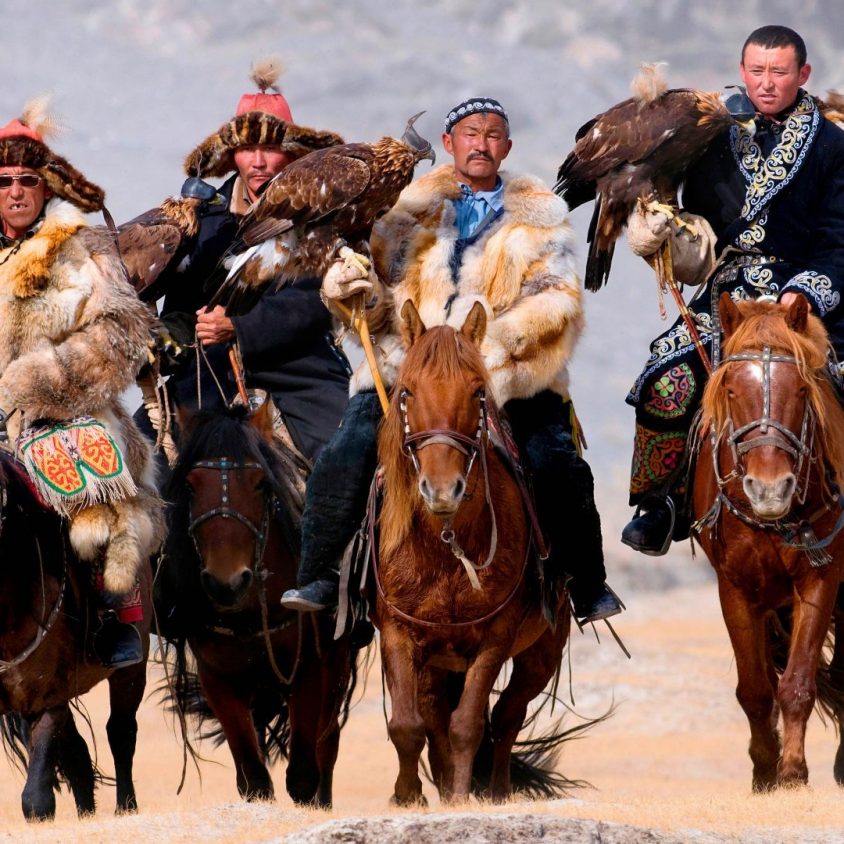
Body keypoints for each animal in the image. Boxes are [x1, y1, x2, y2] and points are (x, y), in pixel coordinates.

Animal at [0, 452, 152, 820]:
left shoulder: (48, 695)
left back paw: (126, 807)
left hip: (131, 670)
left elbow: (37, 801)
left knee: (120, 732)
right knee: (79, 754)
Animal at [155, 398, 360, 808]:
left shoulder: (310, 671)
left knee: (326, 749)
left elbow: (304, 775)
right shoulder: (219, 681)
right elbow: (254, 781)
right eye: (190, 485)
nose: (227, 583)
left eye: (262, 482)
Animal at [374, 302, 572, 804]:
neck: (446, 548)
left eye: (478, 392)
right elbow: (408, 725)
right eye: (407, 391)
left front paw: (463, 797)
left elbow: (468, 726)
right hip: (436, 663)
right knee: (434, 719)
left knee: (506, 718)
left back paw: (496, 790)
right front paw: (409, 797)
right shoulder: (398, 633)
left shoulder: (495, 640)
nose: (443, 490)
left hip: (541, 654)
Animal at [696, 294, 844, 788]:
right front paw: (764, 771)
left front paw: (793, 772)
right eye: (730, 390)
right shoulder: (736, 587)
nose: (770, 490)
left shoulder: (821, 577)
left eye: (801, 389)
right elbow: (756, 688)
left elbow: (797, 682)